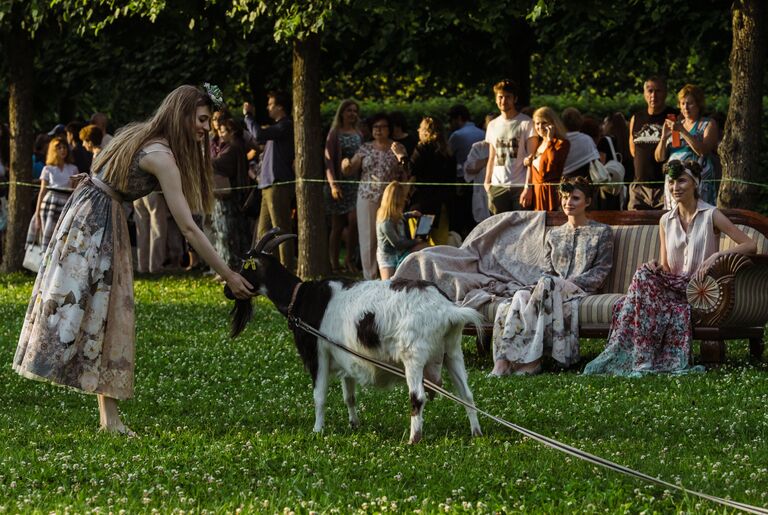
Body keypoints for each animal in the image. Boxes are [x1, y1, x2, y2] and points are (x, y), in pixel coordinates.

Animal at [225, 230, 484, 444]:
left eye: (244, 265)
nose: (227, 290)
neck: (301, 298)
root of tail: (447, 309)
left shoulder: (318, 353)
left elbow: (319, 396)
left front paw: (317, 430)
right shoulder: (344, 357)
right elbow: (349, 396)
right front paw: (354, 424)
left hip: (414, 356)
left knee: (418, 397)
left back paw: (414, 438)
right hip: (452, 351)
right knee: (467, 394)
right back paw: (476, 432)